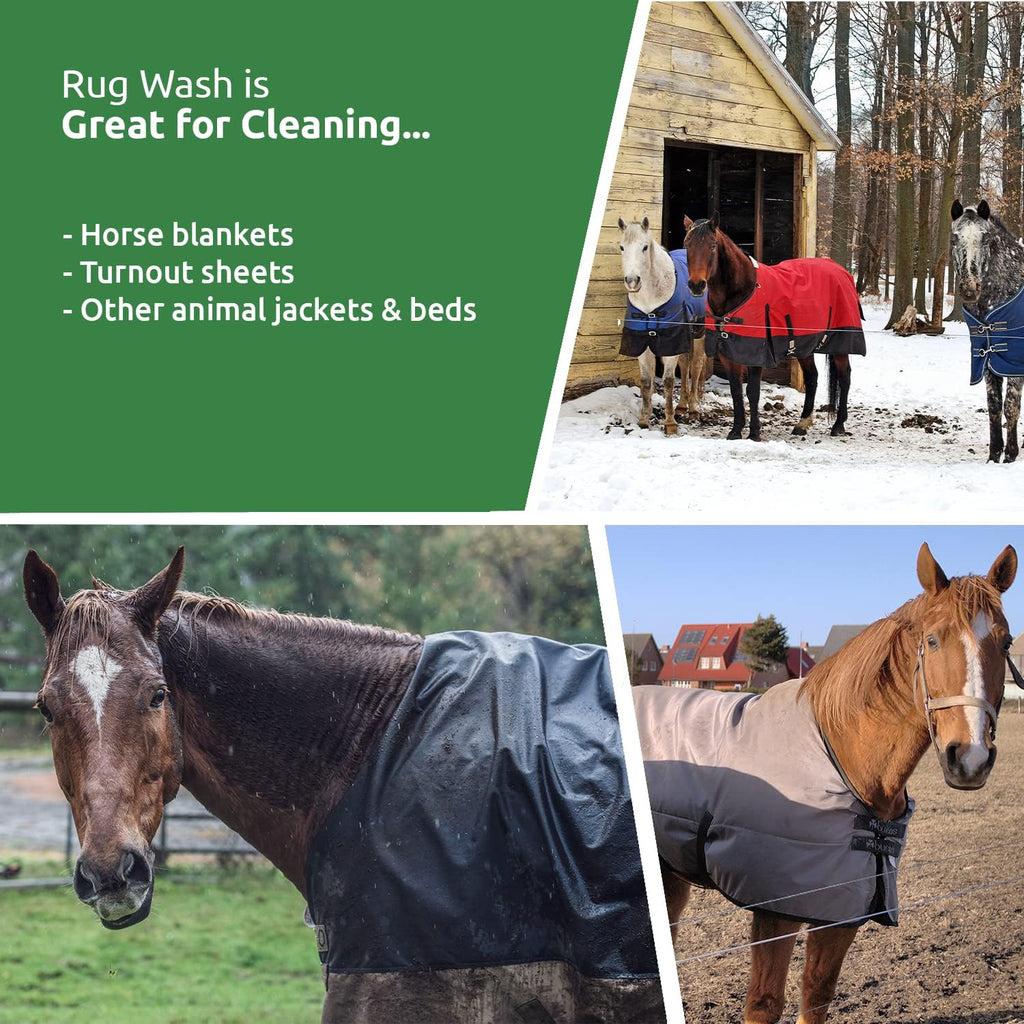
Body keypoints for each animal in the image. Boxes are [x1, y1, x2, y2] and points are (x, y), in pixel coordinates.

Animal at [617, 216, 707, 433]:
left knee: (696, 365)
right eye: (622, 247)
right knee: (685, 364)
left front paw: (670, 422)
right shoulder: (643, 342)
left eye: (644, 247)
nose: (632, 281)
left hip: (699, 331)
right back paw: (682, 405)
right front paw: (644, 419)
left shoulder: (670, 341)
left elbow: (667, 381)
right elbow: (645, 381)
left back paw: (693, 408)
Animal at [634, 542, 1018, 1024]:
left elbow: (817, 993)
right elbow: (764, 1004)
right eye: (932, 640)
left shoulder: (843, 907)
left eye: (1006, 642)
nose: (969, 758)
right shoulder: (777, 908)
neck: (841, 754)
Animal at [683, 214, 866, 441]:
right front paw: (736, 430)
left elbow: (752, 392)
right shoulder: (728, 353)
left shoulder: (756, 354)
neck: (742, 291)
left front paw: (754, 433)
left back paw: (838, 425)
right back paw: (802, 423)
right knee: (812, 378)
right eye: (687, 244)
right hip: (803, 346)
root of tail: (841, 270)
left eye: (713, 245)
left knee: (845, 376)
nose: (696, 285)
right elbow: (736, 390)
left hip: (840, 344)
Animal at [950, 199, 1024, 463]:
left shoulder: (1013, 361)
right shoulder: (988, 357)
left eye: (986, 239)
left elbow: (1010, 406)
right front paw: (994, 454)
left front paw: (1011, 455)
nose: (970, 289)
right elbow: (994, 407)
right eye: (954, 239)